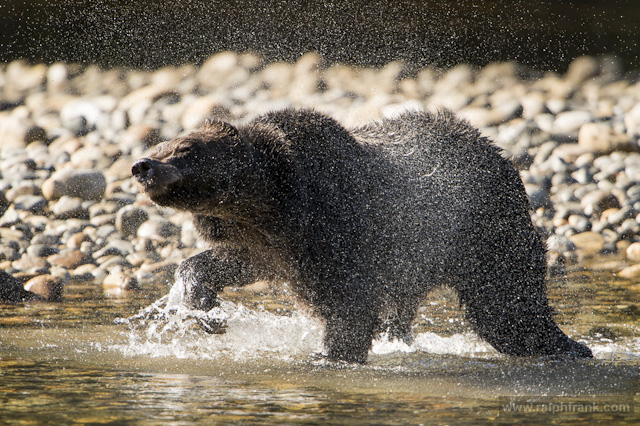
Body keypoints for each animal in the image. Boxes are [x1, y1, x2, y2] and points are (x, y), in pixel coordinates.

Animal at [132, 108, 593, 363]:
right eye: (162, 144)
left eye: (185, 149)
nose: (143, 166)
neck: (275, 206)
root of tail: (502, 158)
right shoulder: (268, 245)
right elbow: (225, 262)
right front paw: (202, 310)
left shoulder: (336, 231)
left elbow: (348, 306)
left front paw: (327, 354)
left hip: (484, 231)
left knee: (506, 305)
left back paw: (569, 347)